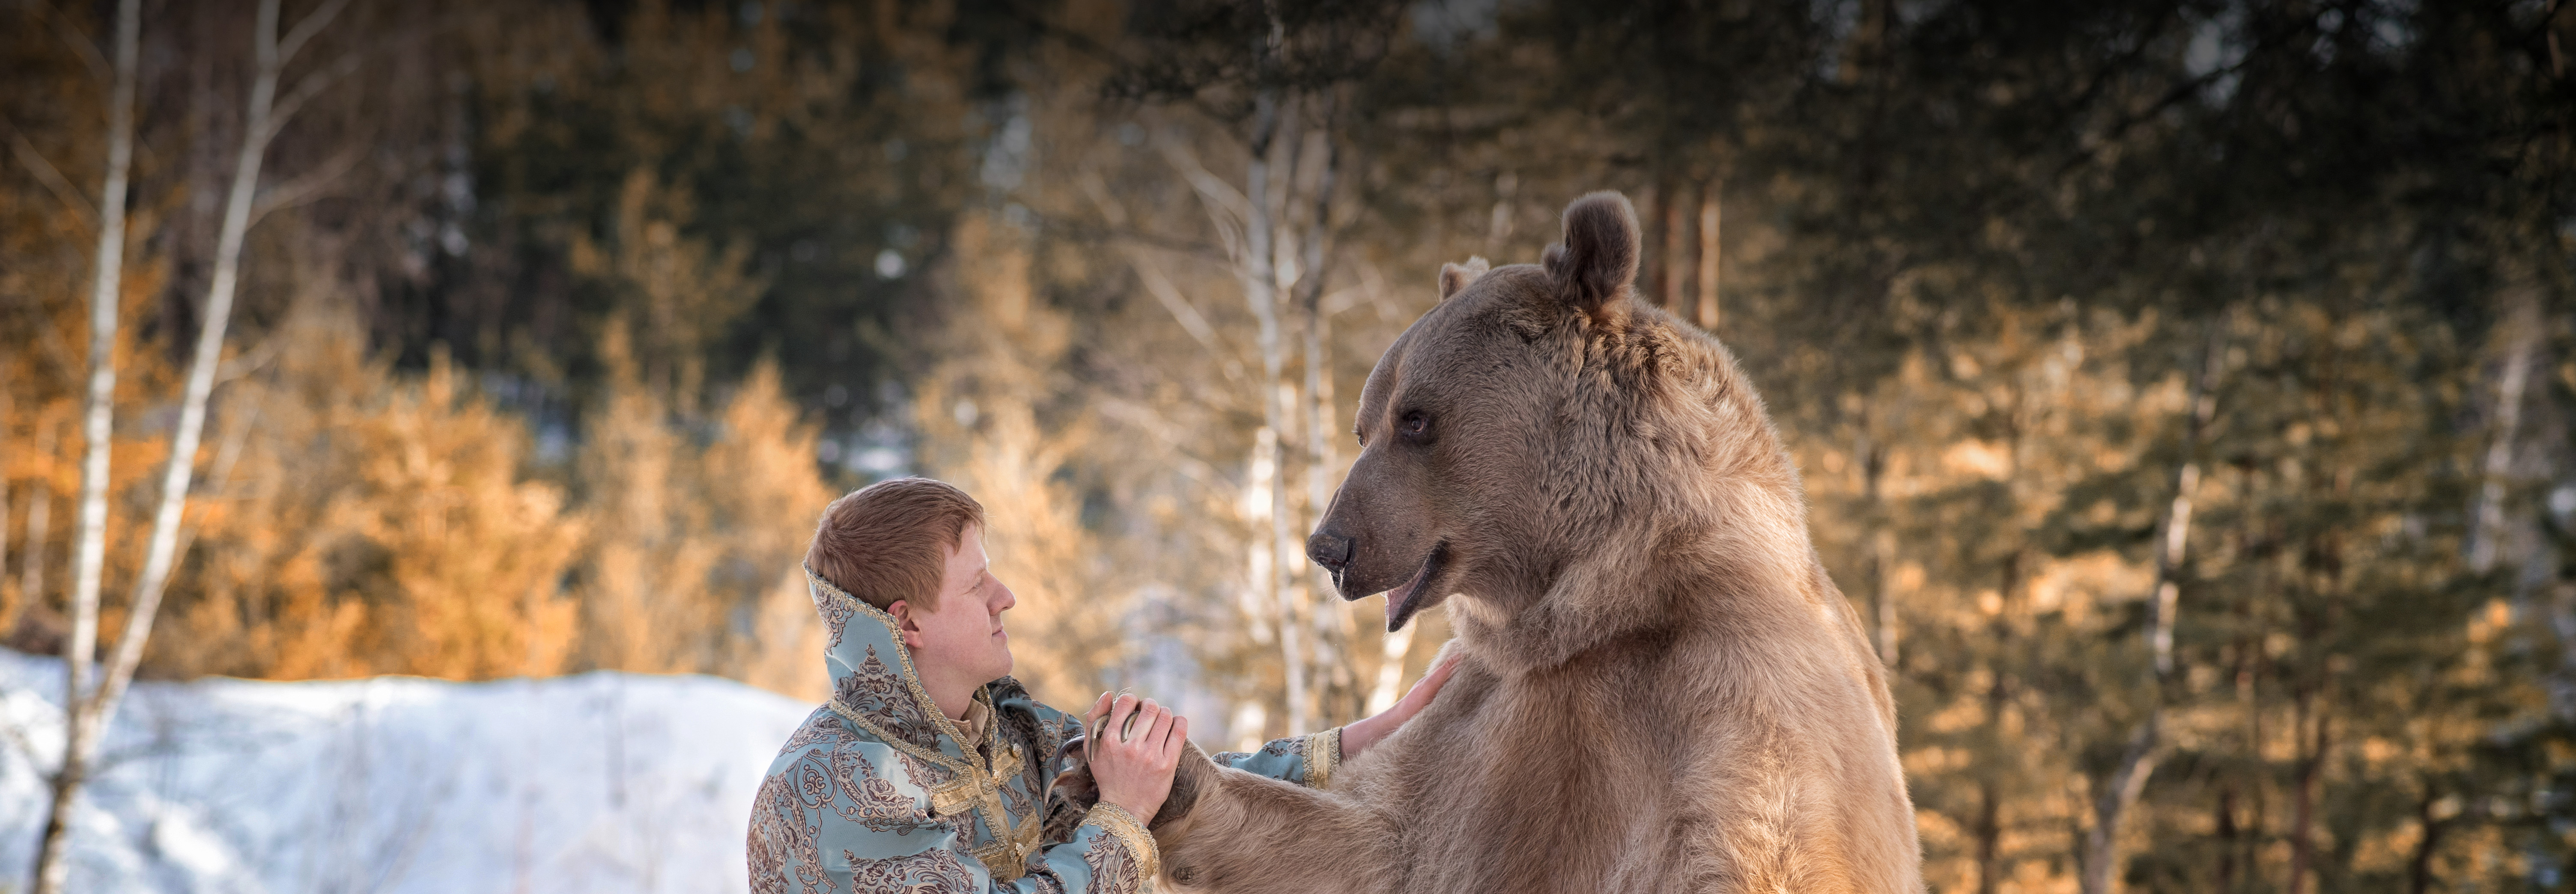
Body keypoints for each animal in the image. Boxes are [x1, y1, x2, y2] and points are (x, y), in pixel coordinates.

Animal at [1144, 193, 1916, 891]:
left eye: (1416, 418)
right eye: (1365, 426)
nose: (1330, 546)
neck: (1591, 602)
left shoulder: (1729, 705)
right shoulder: (1483, 719)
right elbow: (1365, 834)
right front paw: (1173, 769)